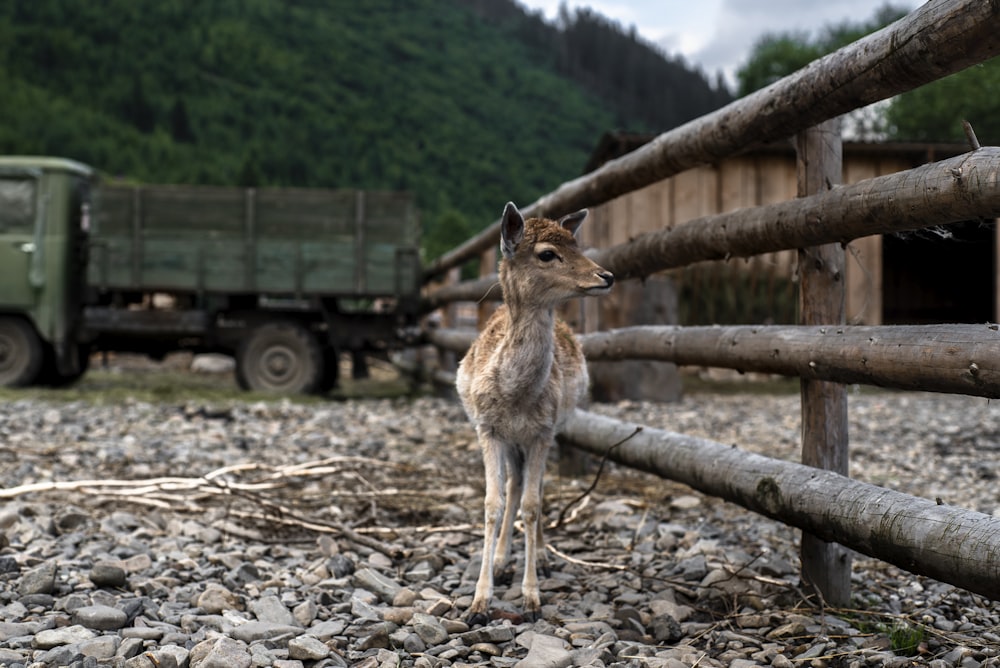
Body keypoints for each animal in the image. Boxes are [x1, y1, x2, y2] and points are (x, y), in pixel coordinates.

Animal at [458, 201, 612, 624]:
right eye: (547, 253)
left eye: (577, 243)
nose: (606, 275)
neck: (515, 397)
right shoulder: (488, 429)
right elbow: (492, 504)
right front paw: (479, 600)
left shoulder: (543, 430)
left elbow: (531, 503)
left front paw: (532, 597)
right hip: (513, 442)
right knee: (514, 484)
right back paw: (500, 559)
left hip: (550, 431)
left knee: (534, 487)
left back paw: (540, 555)